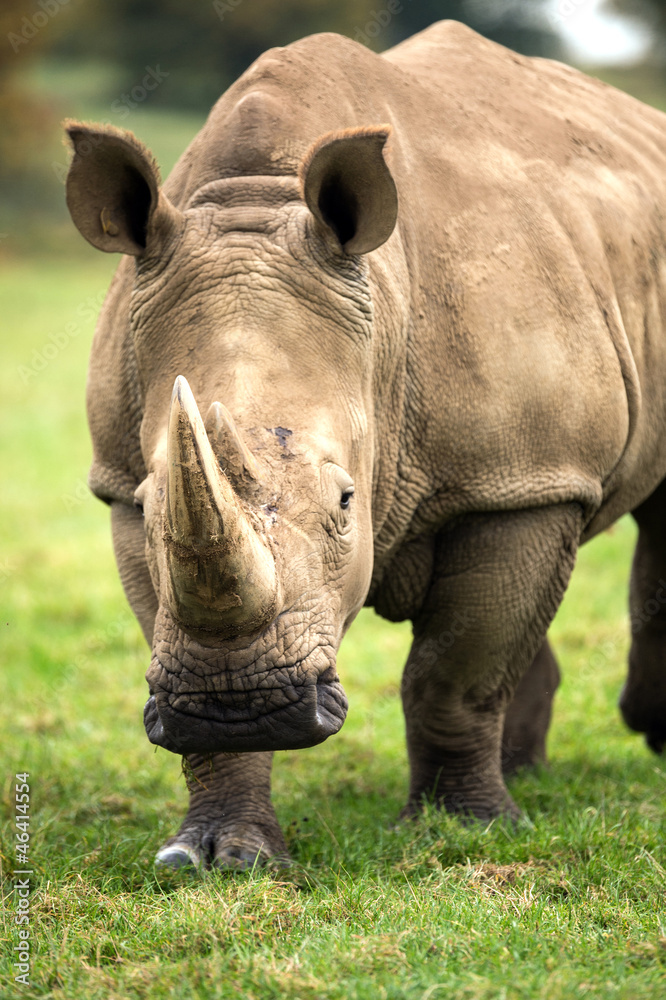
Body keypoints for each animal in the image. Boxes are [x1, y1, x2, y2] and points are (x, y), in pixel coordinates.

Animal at [65, 21, 666, 869]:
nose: (235, 706)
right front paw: (216, 855)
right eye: (154, 505)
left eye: (347, 500)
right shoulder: (121, 484)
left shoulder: (520, 479)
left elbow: (455, 675)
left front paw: (465, 829)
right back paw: (528, 772)